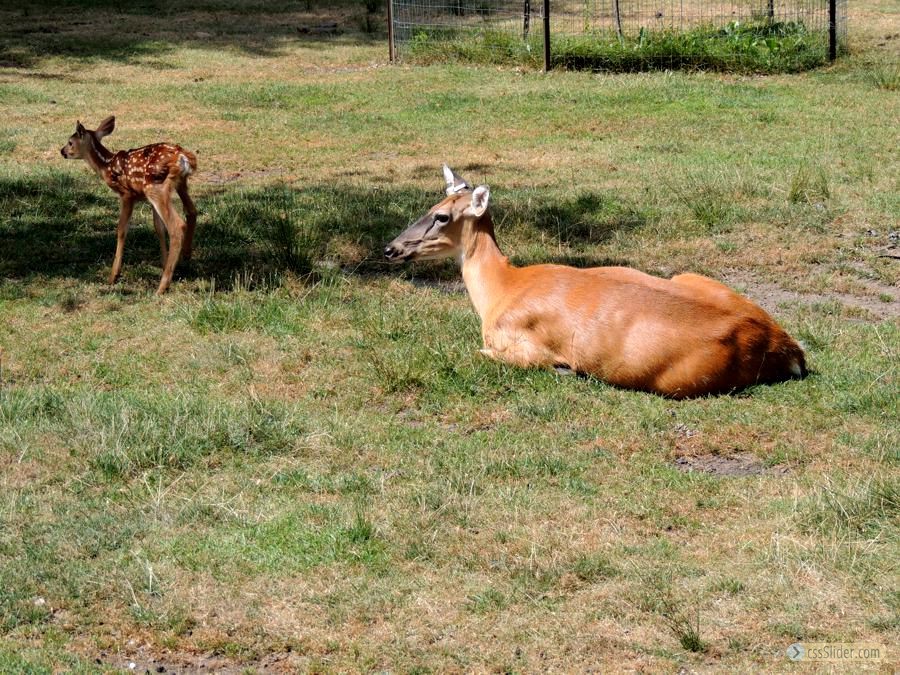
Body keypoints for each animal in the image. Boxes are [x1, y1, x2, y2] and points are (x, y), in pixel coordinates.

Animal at [61, 117, 199, 296]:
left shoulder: (127, 194)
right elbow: (158, 229)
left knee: (177, 225)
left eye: (70, 142)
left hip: (155, 187)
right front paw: (164, 263)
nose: (62, 151)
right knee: (191, 211)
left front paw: (114, 275)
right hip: (179, 184)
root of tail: (183, 157)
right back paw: (185, 256)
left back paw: (162, 287)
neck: (106, 166)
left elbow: (121, 230)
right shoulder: (146, 199)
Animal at [384, 168, 804, 398]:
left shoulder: (523, 346)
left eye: (441, 216)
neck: (502, 288)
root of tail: (787, 347)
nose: (390, 249)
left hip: (680, 378)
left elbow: (480, 352)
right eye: (431, 206)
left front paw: (567, 369)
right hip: (692, 277)